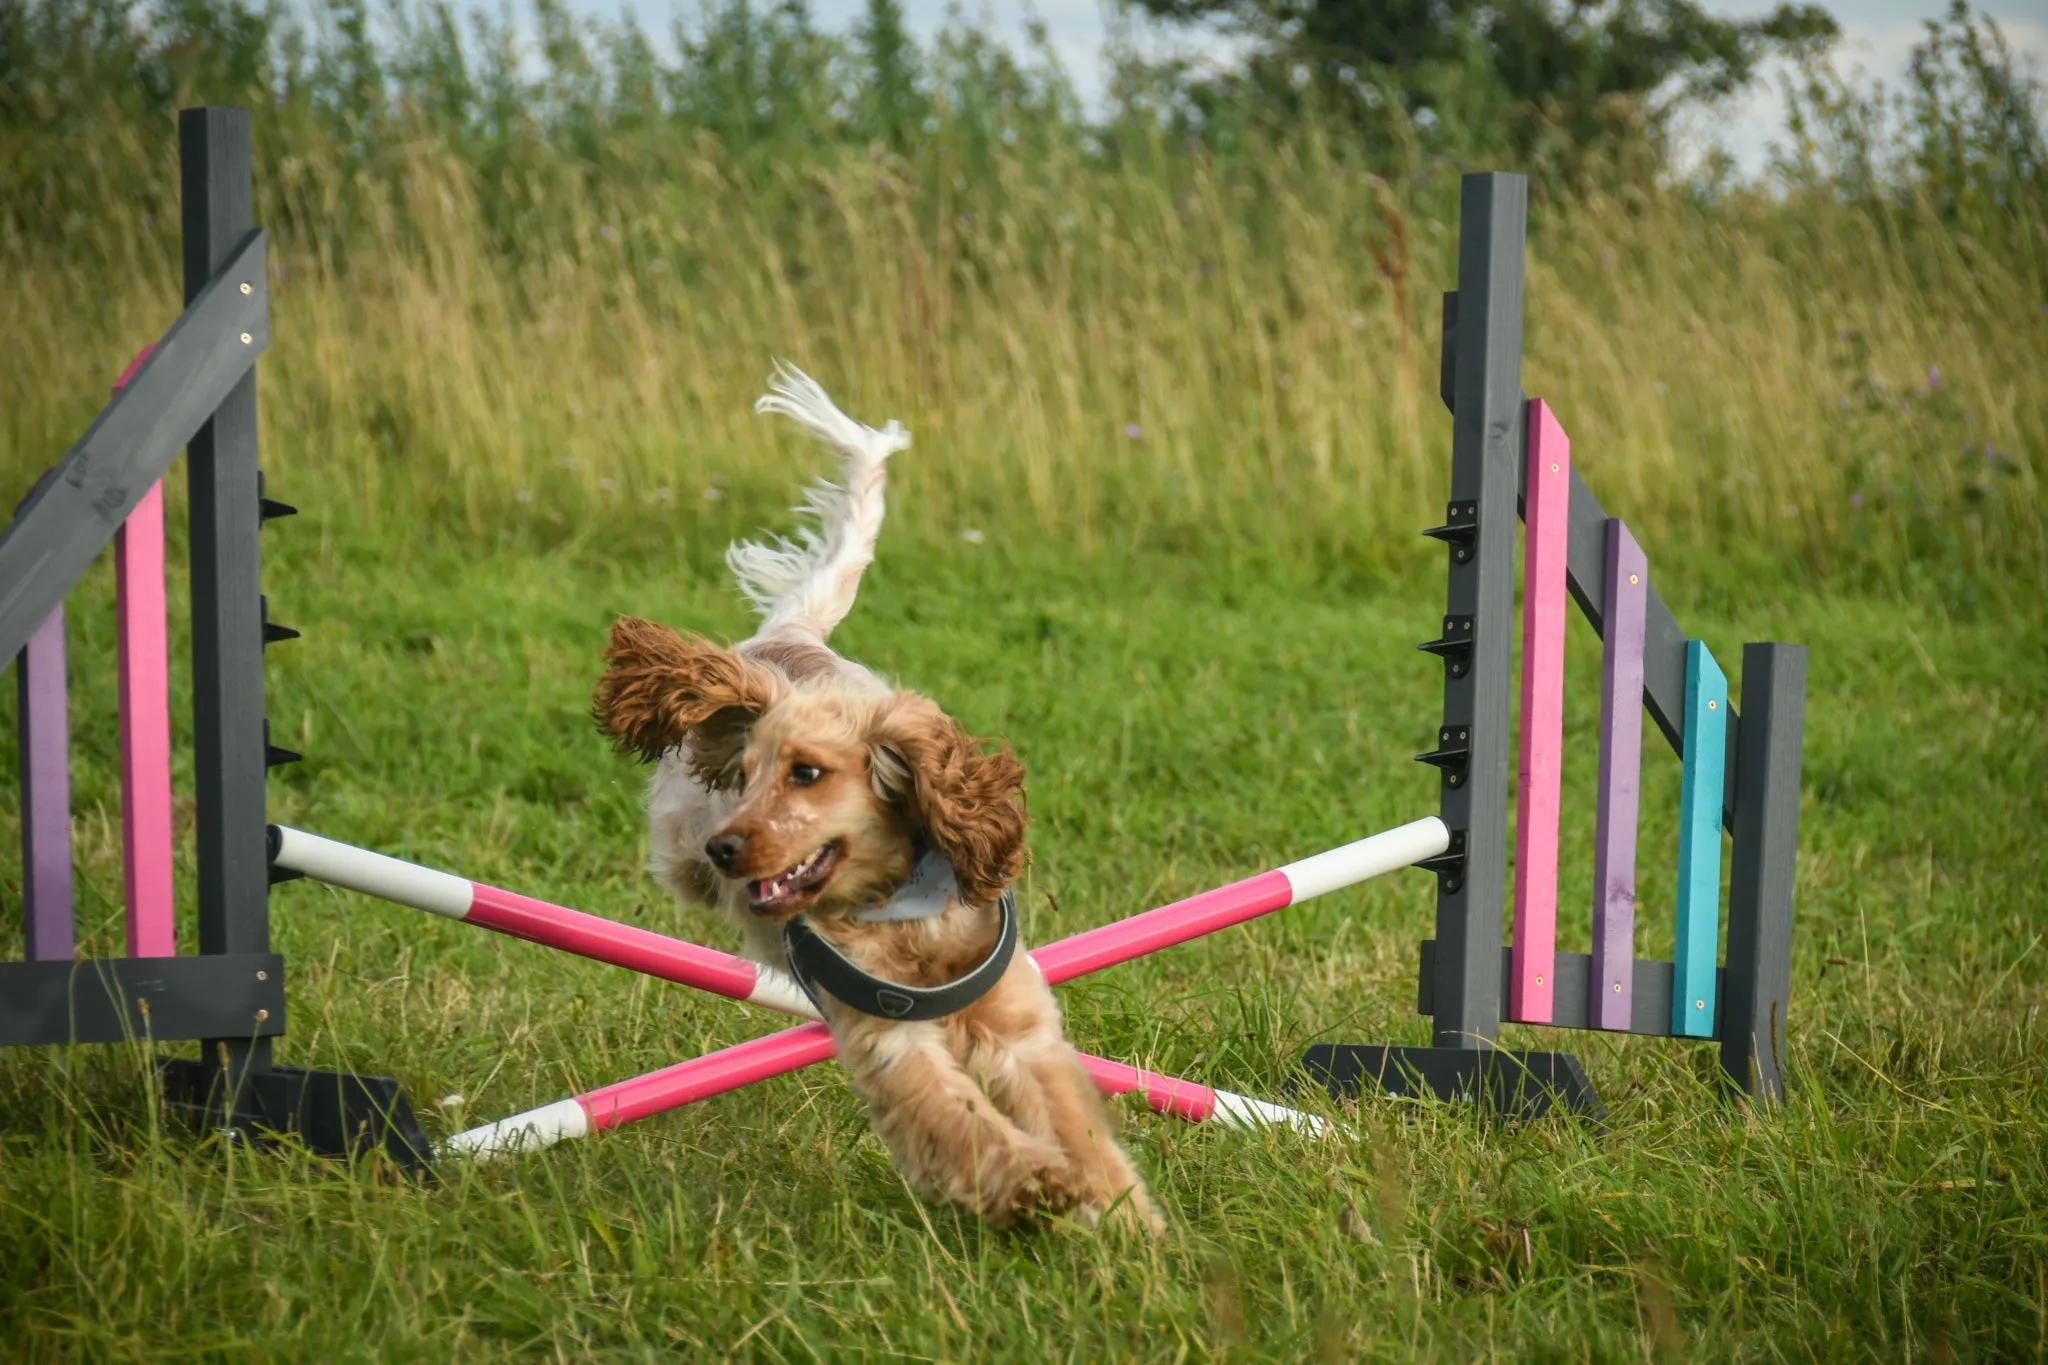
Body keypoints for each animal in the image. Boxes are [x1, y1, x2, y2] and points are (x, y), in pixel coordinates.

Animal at [598, 366, 1163, 1236]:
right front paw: (1035, 1183)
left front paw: (1132, 1222)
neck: (905, 908)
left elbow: (1072, 1117)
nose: (726, 848)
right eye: (746, 775)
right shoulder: (890, 1042)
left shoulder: (1018, 1022)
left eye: (807, 773)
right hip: (675, 833)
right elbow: (961, 1120)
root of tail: (787, 637)